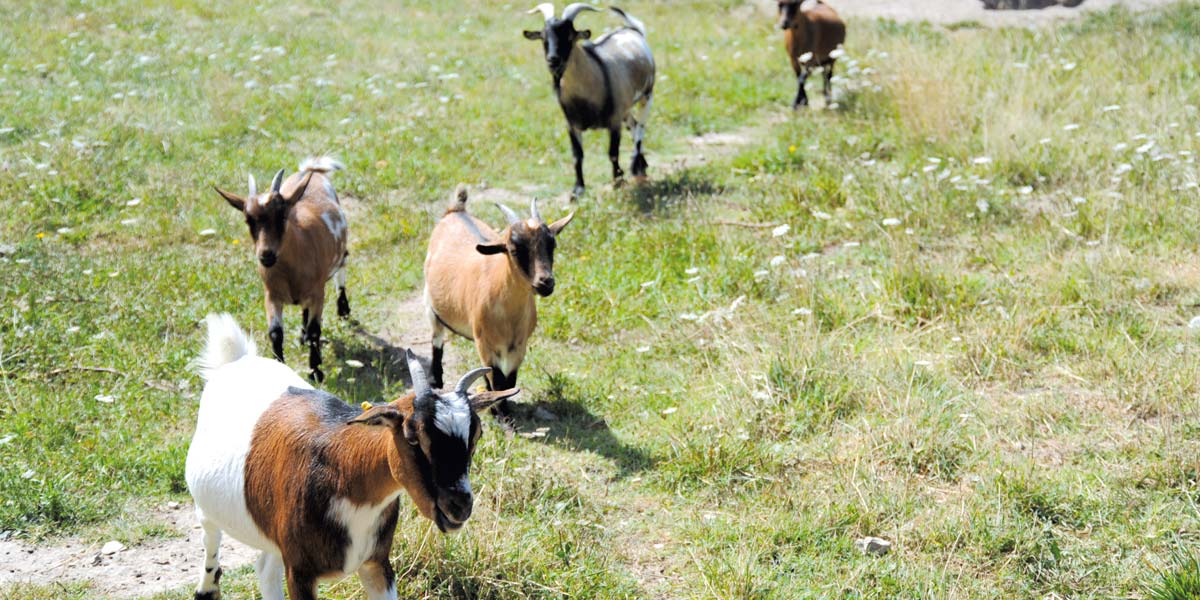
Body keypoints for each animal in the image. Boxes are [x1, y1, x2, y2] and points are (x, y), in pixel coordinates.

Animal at [184, 314, 513, 600]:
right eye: (412, 437)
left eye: (476, 435)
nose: (460, 506)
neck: (343, 474)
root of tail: (237, 358)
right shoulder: (300, 573)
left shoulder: (377, 563)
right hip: (206, 506)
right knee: (210, 536)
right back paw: (206, 590)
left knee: (265, 568)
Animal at [214, 154, 350, 379]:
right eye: (248, 220)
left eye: (282, 215)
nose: (266, 255)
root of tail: (310, 171)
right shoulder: (271, 296)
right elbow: (276, 333)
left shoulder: (318, 293)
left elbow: (315, 330)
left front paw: (316, 371)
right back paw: (303, 335)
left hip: (340, 254)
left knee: (343, 268)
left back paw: (343, 310)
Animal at [420, 186, 573, 417]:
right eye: (514, 250)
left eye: (552, 244)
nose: (546, 282)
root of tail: (456, 211)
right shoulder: (486, 343)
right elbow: (498, 379)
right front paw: (500, 412)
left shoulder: (518, 345)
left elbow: (509, 379)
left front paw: (502, 409)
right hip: (431, 306)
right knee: (436, 339)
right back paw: (435, 380)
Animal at [525, 2, 657, 199]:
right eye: (543, 37)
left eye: (570, 36)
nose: (553, 60)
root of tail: (632, 29)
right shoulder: (572, 125)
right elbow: (577, 155)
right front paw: (577, 190)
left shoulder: (614, 121)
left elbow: (613, 153)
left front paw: (618, 181)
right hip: (626, 109)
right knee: (633, 126)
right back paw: (641, 165)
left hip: (646, 96)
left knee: (640, 129)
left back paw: (635, 167)